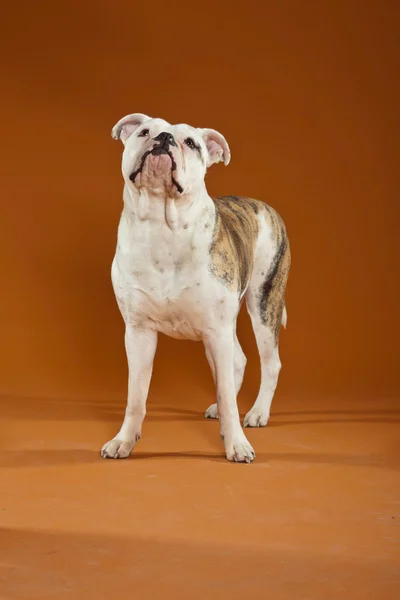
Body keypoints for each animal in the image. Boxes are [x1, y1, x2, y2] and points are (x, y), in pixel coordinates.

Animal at [101, 112, 290, 462]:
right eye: (144, 132)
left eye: (190, 142)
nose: (163, 138)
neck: (163, 226)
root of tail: (263, 206)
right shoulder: (138, 332)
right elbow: (136, 396)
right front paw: (124, 440)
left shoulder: (217, 329)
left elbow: (228, 394)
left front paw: (236, 444)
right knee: (237, 363)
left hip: (263, 304)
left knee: (269, 363)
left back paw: (257, 413)